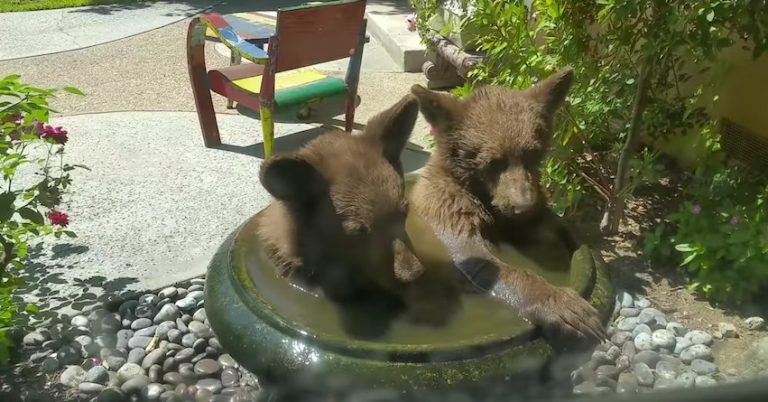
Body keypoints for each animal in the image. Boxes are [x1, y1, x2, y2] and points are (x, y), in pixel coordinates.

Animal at [408, 68, 606, 342]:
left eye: (533, 153)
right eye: (493, 161)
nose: (525, 206)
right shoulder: (449, 215)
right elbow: (483, 261)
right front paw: (562, 304)